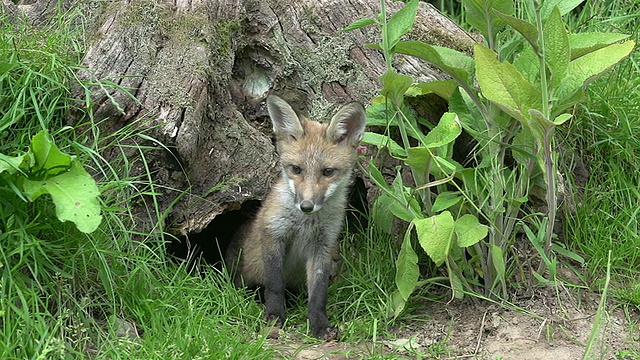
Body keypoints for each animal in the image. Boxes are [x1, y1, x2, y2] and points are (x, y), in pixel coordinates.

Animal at [225, 94, 364, 338]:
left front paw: (319, 324)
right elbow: (274, 285)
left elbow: (318, 293)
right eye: (296, 169)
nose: (306, 206)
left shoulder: (323, 246)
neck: (304, 225)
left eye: (328, 172)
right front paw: (273, 316)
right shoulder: (273, 235)